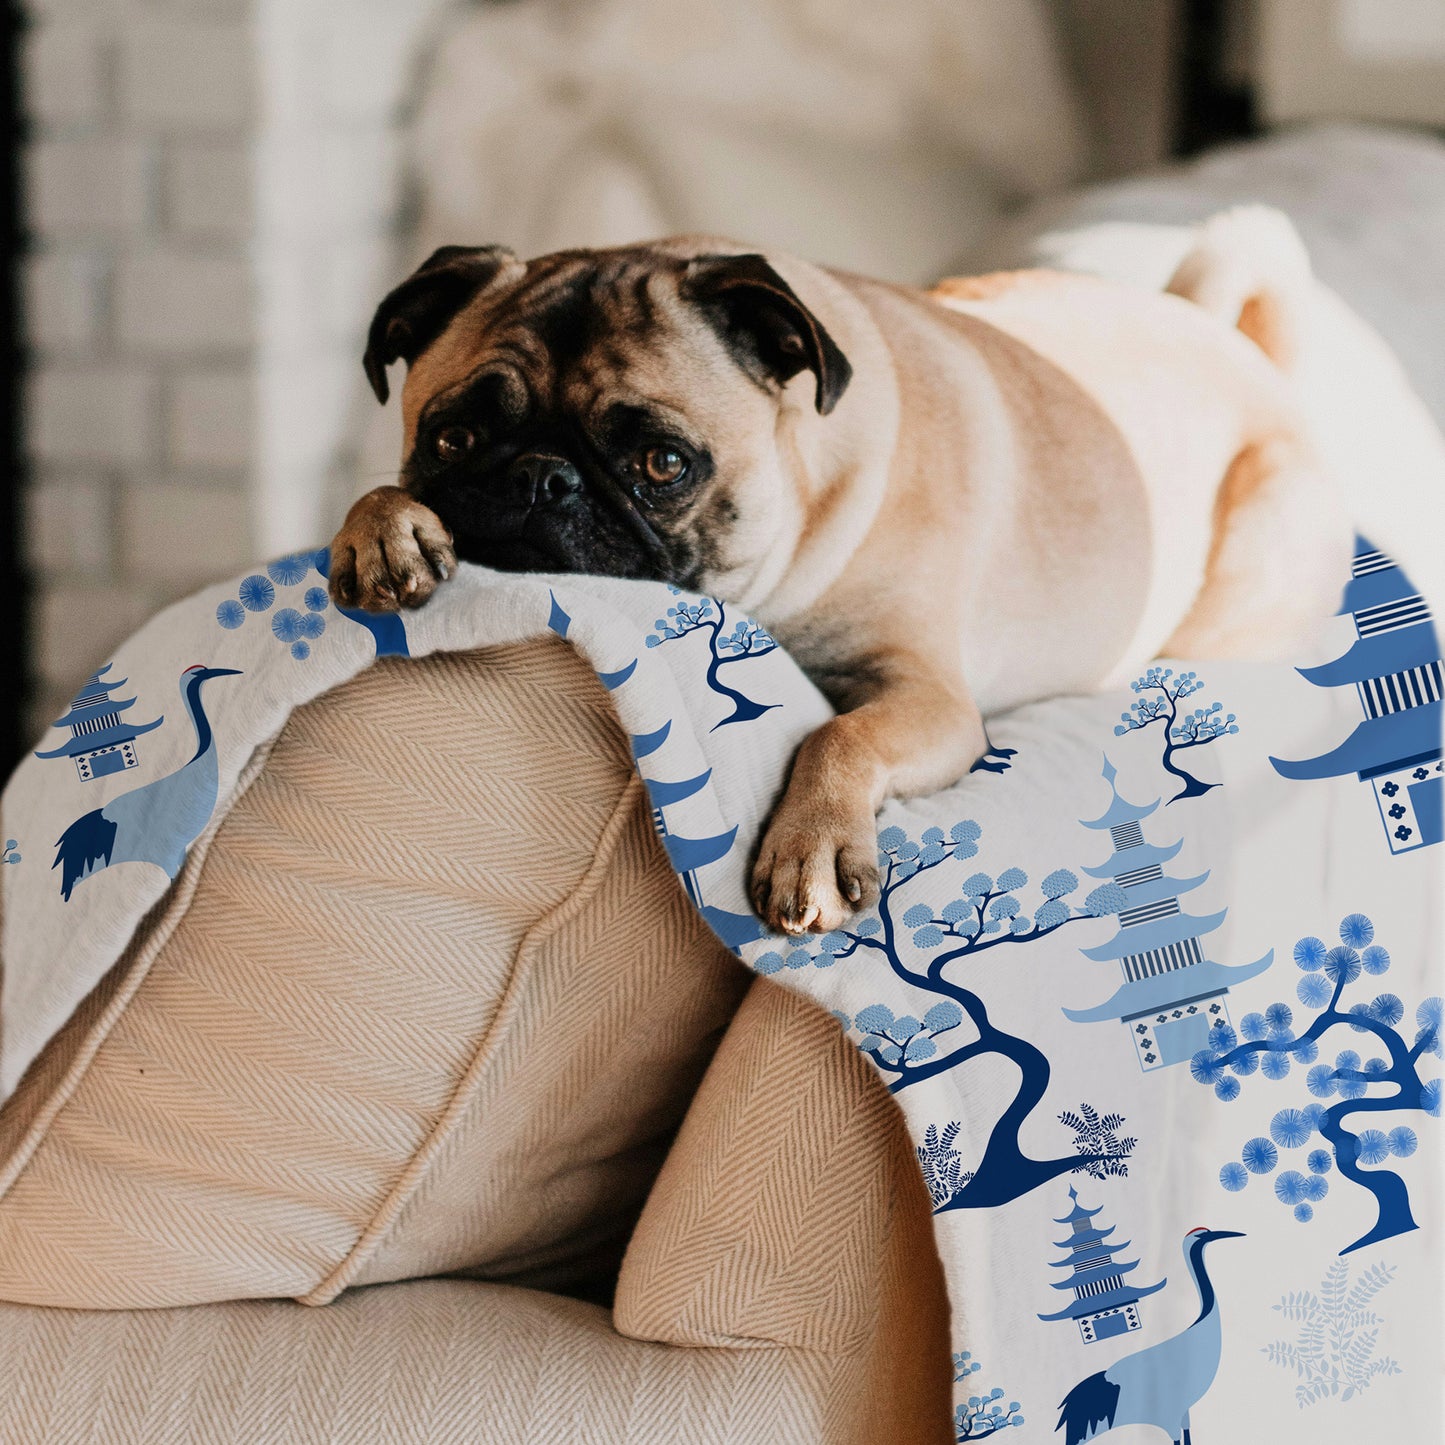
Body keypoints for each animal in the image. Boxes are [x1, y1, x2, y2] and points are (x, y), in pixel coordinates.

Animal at [332, 213, 1346, 936]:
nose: (543, 479)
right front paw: (380, 530)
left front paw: (810, 846)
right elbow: (378, 495)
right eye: (452, 437)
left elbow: (838, 736)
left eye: (663, 464)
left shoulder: (929, 697)